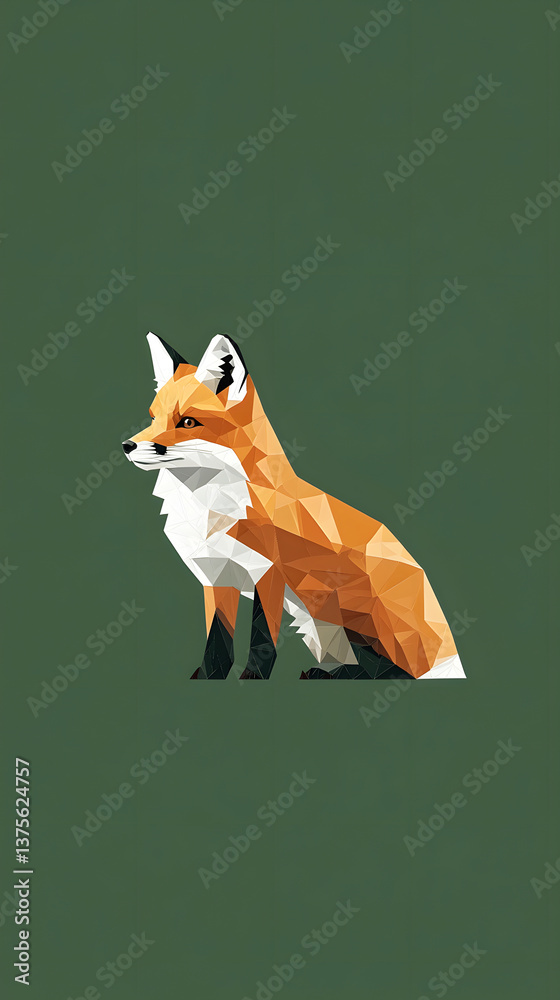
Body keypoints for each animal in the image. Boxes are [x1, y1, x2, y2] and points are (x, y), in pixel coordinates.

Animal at [122, 332, 465, 680]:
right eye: (153, 417)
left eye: (188, 422)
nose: (127, 446)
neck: (216, 507)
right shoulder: (216, 576)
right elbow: (217, 641)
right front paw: (207, 678)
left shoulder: (268, 574)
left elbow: (262, 639)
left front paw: (253, 679)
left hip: (338, 605)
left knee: (392, 672)